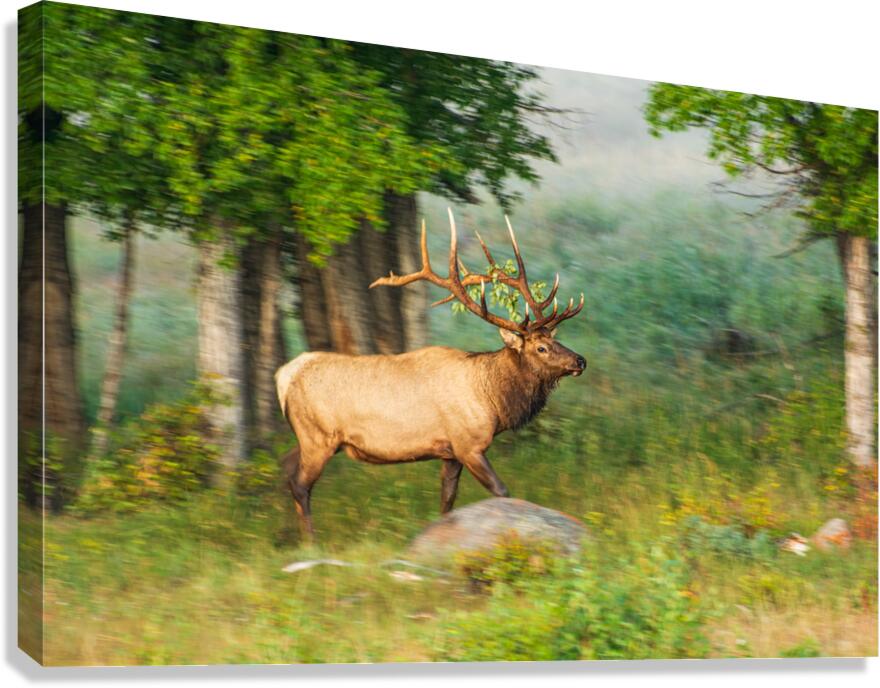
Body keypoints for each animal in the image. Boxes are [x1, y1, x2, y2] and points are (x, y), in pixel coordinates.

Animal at [276, 209, 586, 537]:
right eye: (541, 347)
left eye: (555, 339)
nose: (580, 361)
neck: (492, 400)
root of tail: (284, 376)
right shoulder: (468, 444)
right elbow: (501, 491)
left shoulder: (449, 453)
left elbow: (447, 500)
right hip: (317, 436)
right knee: (300, 484)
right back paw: (311, 540)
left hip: (310, 437)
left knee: (286, 466)